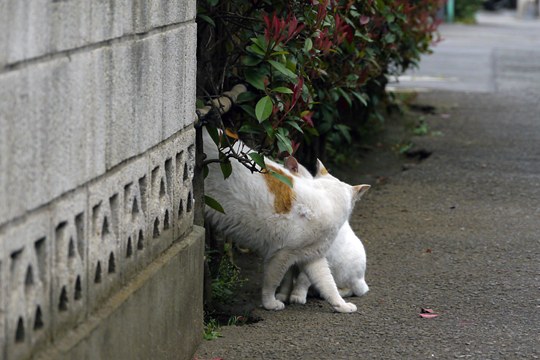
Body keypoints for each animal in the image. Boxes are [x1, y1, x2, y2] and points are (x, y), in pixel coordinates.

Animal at [205, 129, 370, 312]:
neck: (326, 200)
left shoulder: (312, 256)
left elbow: (327, 284)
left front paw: (340, 305)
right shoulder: (282, 254)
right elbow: (273, 281)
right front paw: (270, 303)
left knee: (350, 287)